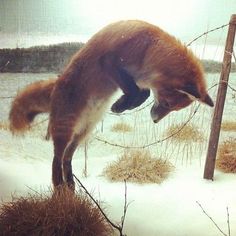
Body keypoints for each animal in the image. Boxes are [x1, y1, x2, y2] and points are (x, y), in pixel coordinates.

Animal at [9, 20, 213, 190]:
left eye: (174, 109)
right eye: (166, 103)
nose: (155, 120)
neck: (150, 48)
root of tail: (56, 84)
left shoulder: (137, 77)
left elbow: (143, 93)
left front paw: (122, 105)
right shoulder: (110, 62)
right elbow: (135, 90)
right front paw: (121, 105)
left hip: (83, 132)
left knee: (67, 158)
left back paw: (70, 185)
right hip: (64, 128)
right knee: (56, 159)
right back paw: (59, 187)